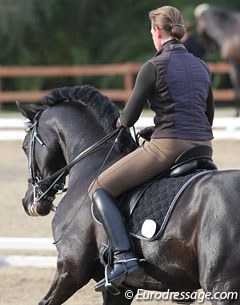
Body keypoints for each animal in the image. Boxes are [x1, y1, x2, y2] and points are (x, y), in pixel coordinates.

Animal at [18, 83, 240, 304]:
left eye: (25, 146)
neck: (93, 164)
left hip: (221, 286)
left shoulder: (70, 268)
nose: (28, 203)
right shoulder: (122, 288)